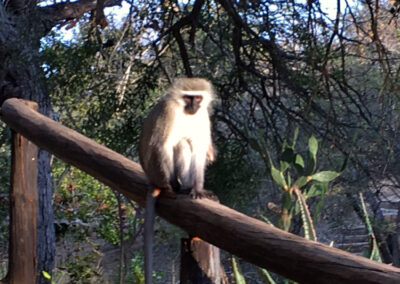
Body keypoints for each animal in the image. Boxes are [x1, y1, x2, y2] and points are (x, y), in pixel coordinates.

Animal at [138, 77, 216, 284]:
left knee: (187, 143)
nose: (194, 105)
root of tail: (151, 178)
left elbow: (198, 149)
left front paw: (198, 189)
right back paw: (176, 187)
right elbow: (163, 145)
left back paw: (188, 188)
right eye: (188, 97)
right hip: (157, 171)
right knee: (179, 143)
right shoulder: (169, 110)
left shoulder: (202, 115)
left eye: (198, 97)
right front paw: (175, 186)